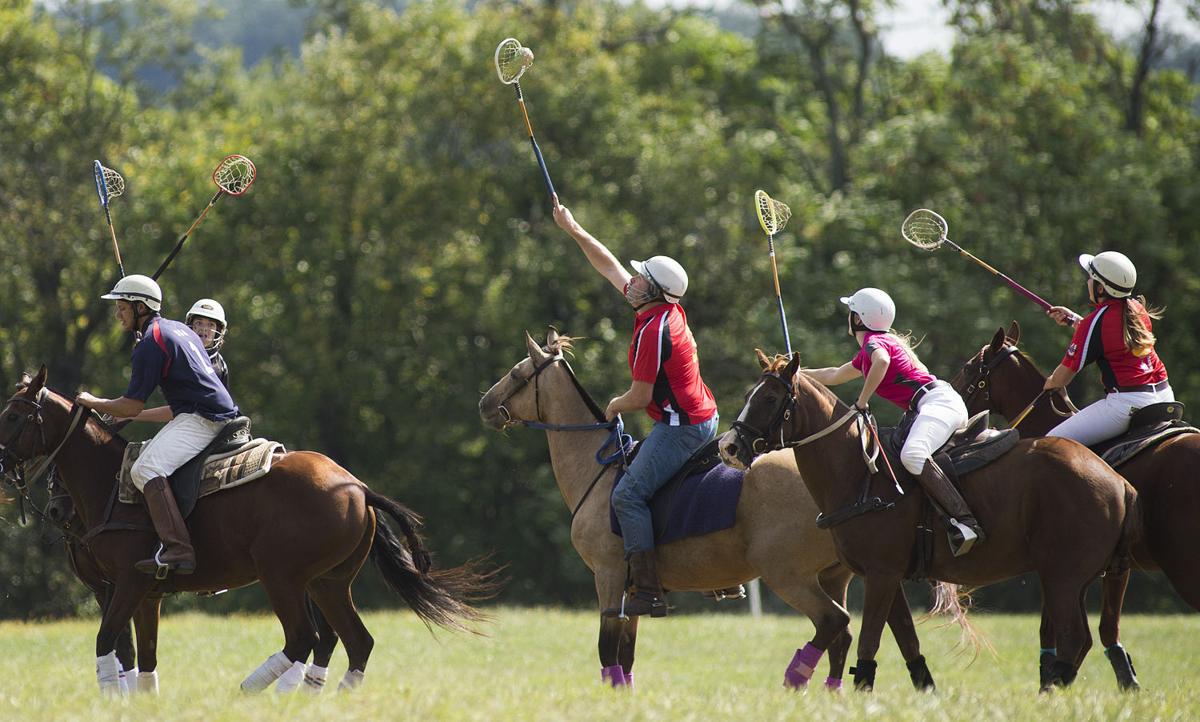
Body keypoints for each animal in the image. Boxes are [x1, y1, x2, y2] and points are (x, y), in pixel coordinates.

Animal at [0, 367, 498, 695]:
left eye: (13, 416)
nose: (57, 509)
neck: (108, 481)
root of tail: (357, 487)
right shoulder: (145, 593)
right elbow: (143, 661)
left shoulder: (127, 583)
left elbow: (108, 643)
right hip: (328, 581)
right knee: (355, 641)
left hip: (281, 574)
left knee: (306, 638)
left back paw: (254, 693)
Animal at [479, 330, 946, 691]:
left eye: (518, 374)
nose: (484, 404)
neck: (599, 470)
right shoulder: (633, 590)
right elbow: (626, 657)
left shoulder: (608, 577)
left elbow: (608, 649)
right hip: (837, 574)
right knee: (842, 637)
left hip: (786, 572)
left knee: (834, 623)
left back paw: (793, 681)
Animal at [719, 352, 1140, 691]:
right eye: (749, 395)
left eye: (770, 398)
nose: (729, 447)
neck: (860, 474)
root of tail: (1118, 481)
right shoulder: (885, 575)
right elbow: (907, 642)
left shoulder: (882, 572)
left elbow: (869, 641)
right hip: (1079, 577)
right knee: (1082, 640)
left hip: (1063, 576)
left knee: (1075, 639)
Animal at [951, 321, 1200, 682]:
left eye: (969, 368)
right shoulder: (1111, 567)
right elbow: (1108, 632)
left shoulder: (1061, 566)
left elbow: (1052, 631)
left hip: (1183, 564)